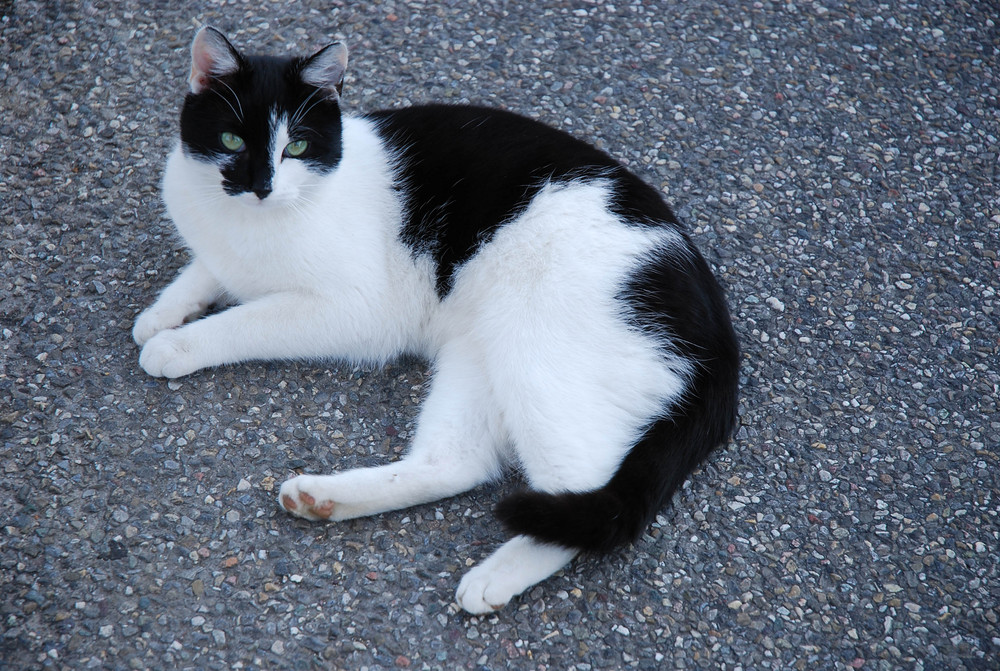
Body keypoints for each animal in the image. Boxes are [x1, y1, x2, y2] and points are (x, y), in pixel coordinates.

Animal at [133, 26, 740, 616]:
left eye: (297, 146)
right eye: (232, 141)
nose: (262, 187)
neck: (249, 223)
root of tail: (718, 332)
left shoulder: (356, 309)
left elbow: (246, 318)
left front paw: (178, 344)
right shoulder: (223, 252)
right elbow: (206, 271)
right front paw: (162, 314)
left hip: (535, 347)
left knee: (587, 498)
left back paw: (498, 575)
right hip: (478, 352)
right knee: (456, 462)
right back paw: (326, 497)